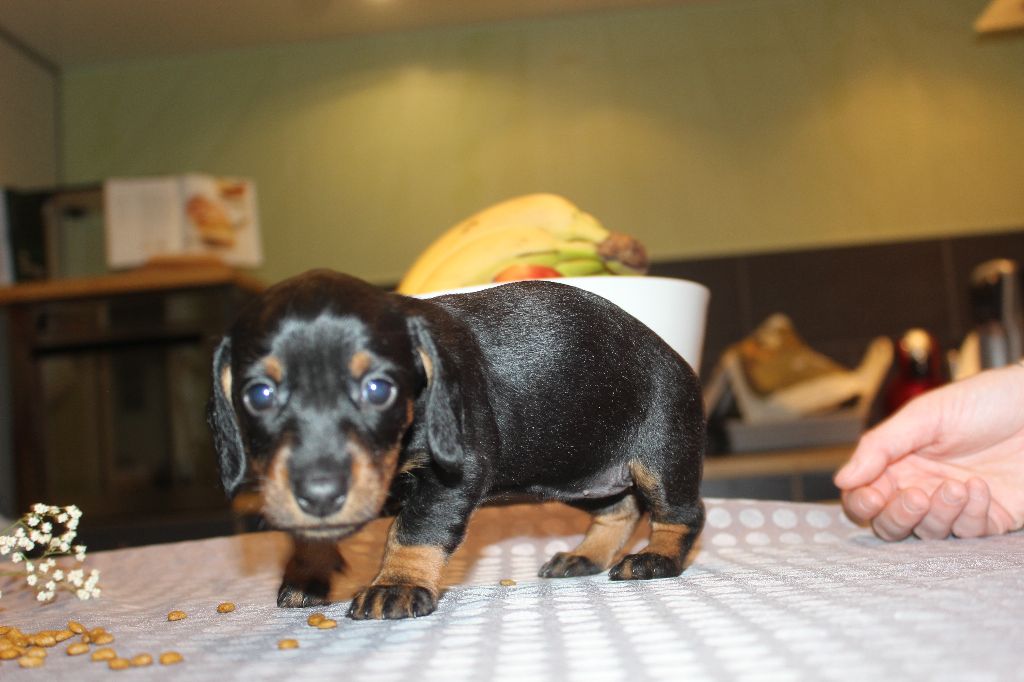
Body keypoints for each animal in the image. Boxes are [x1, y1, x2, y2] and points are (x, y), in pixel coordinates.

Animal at [208, 269, 705, 620]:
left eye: (378, 389)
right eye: (259, 395)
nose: (321, 494)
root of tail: (677, 360)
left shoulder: (452, 474)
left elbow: (414, 529)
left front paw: (397, 584)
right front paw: (309, 572)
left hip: (662, 456)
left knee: (682, 514)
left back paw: (656, 557)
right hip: (578, 469)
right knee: (620, 511)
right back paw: (585, 556)